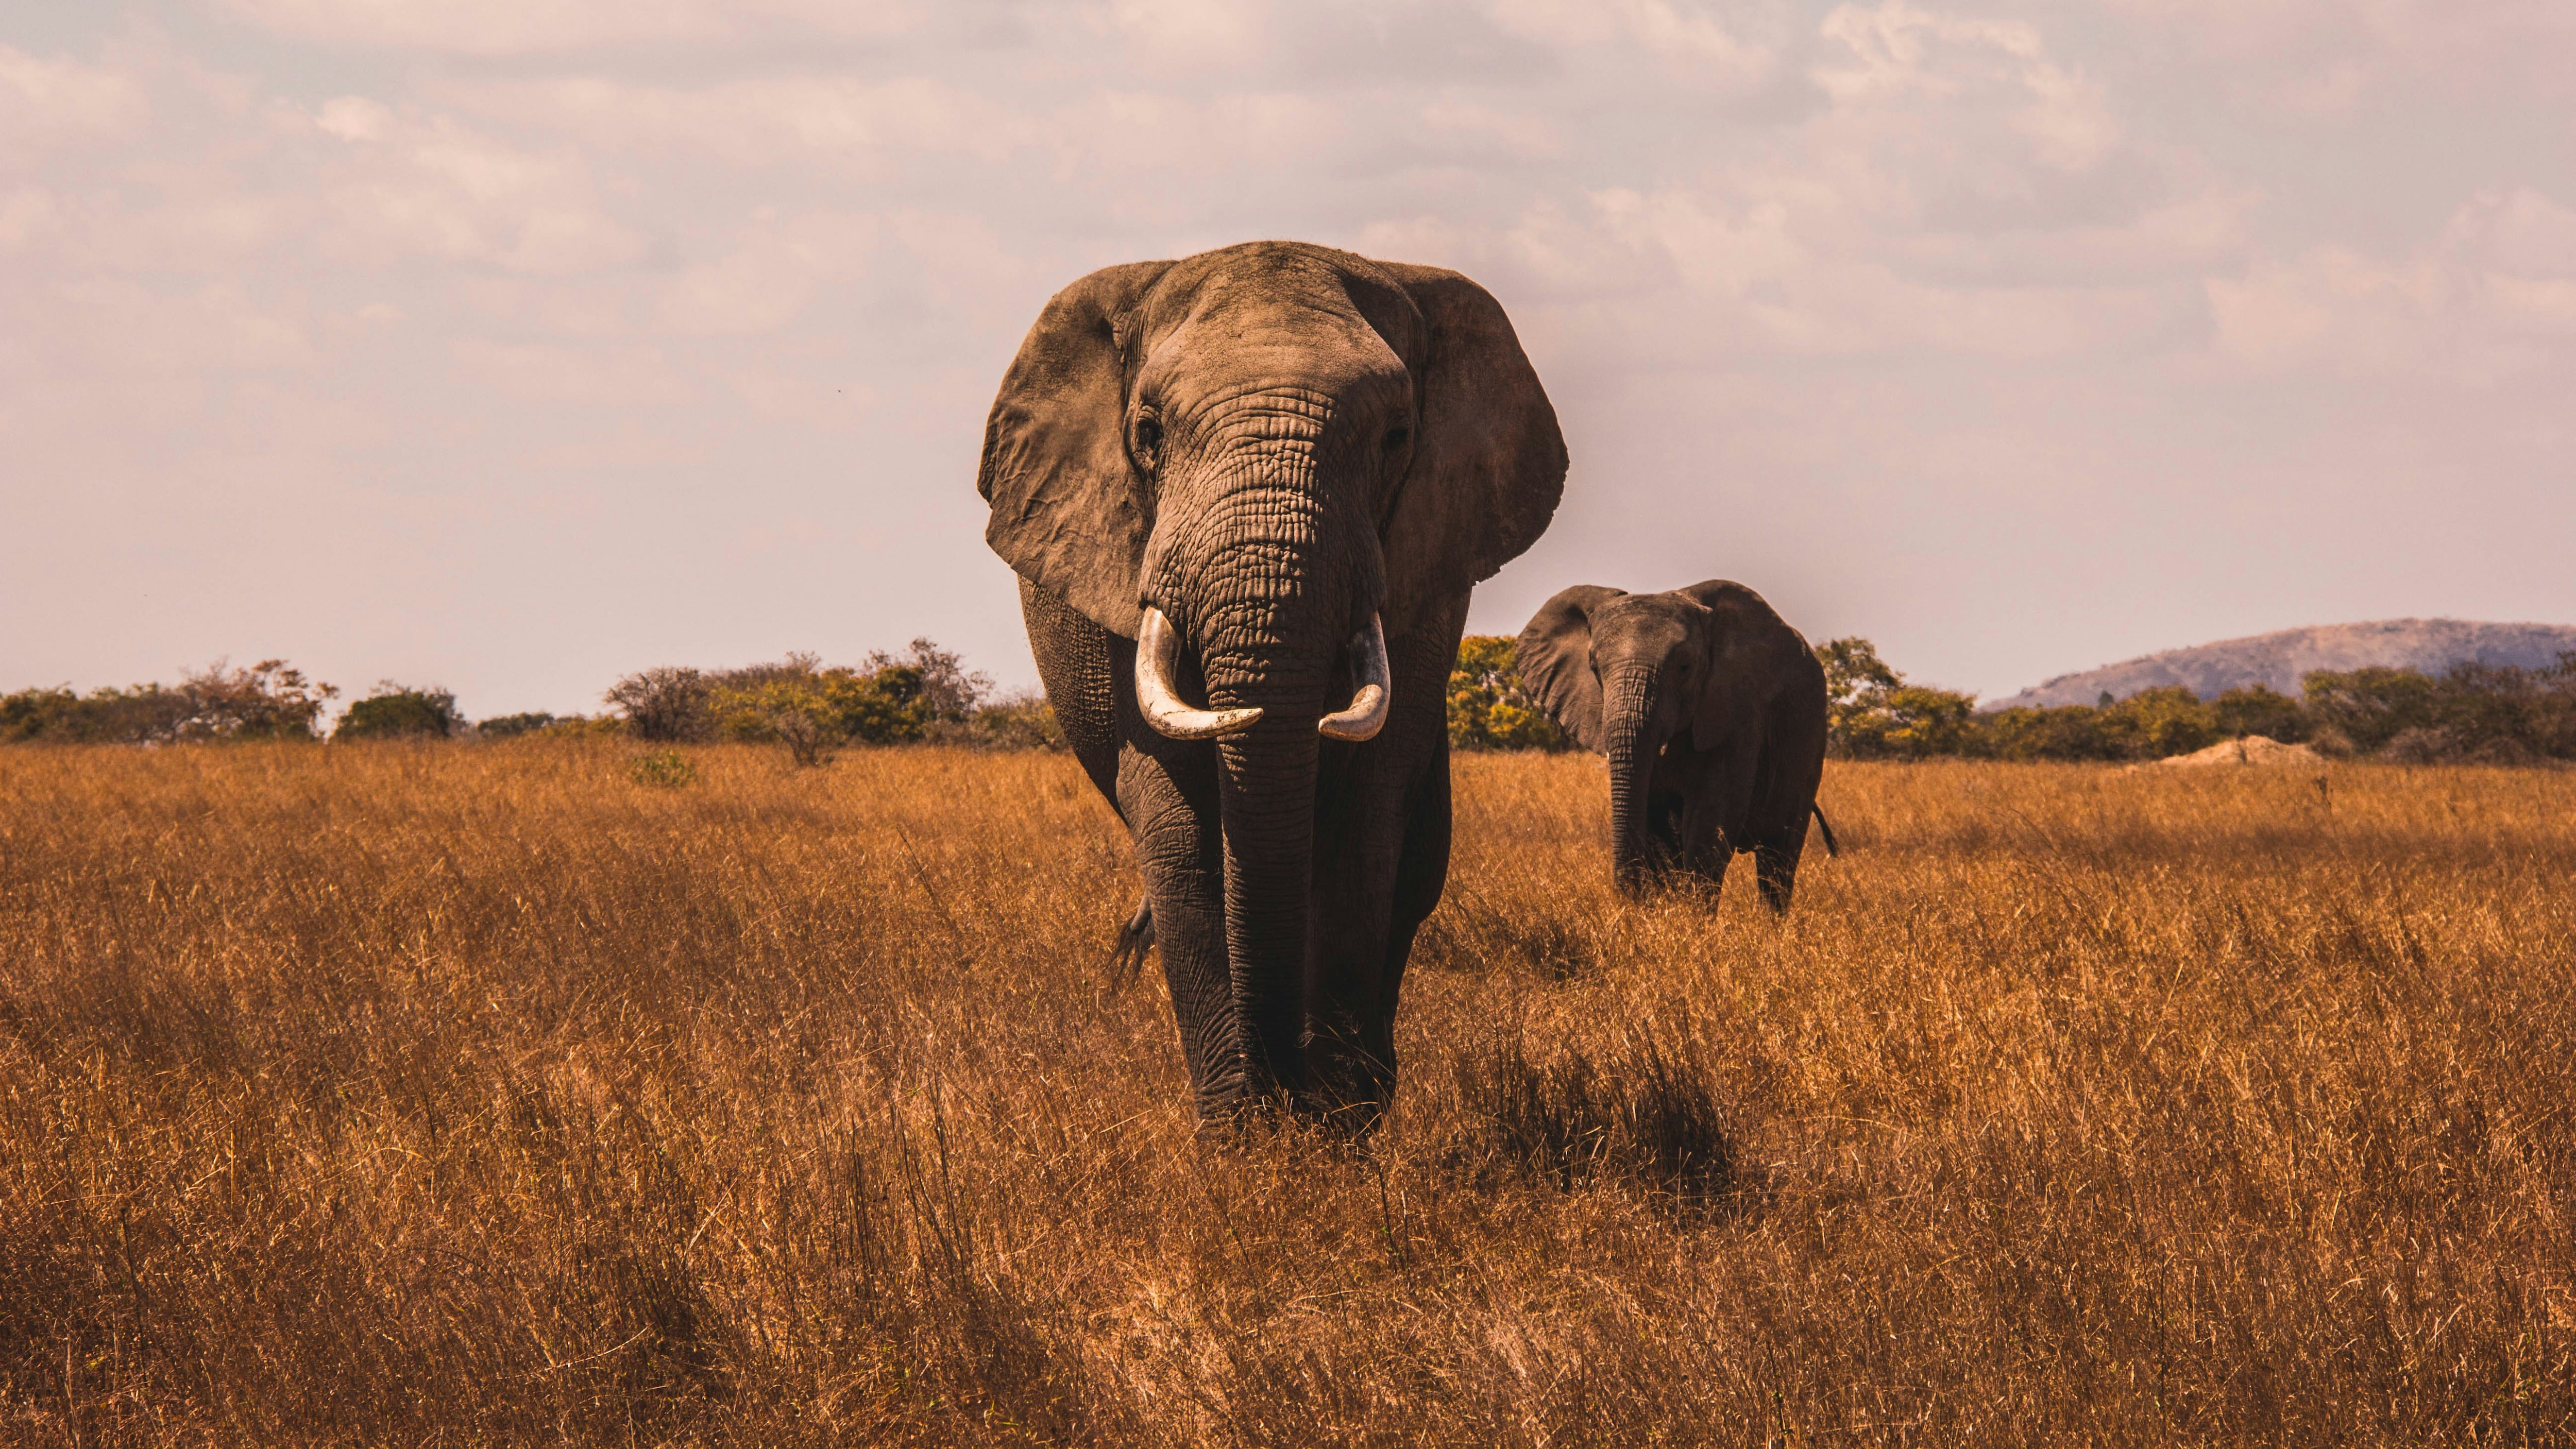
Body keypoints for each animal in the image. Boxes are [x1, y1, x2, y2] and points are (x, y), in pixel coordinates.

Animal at [977, 241, 1567, 1129]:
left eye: (1397, 437)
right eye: (1148, 434)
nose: (1284, 1088)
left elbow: (1367, 822)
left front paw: (1336, 1126)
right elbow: (1180, 829)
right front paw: (1243, 1135)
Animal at [1514, 580, 1835, 906]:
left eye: (1685, 667)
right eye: (1594, 667)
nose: (1627, 896)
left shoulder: (1738, 716)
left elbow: (1711, 823)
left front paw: (1692, 918)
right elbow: (1657, 825)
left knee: (1778, 858)